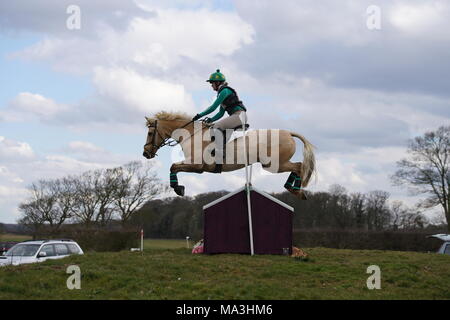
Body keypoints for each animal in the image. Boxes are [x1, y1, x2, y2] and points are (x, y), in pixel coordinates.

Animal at [142, 111, 314, 199]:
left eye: (150, 133)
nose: (145, 153)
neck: (191, 135)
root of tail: (288, 133)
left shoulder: (197, 166)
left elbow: (173, 166)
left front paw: (178, 189)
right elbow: (174, 167)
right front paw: (178, 188)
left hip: (272, 165)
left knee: (299, 166)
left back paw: (296, 190)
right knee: (298, 166)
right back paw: (293, 189)